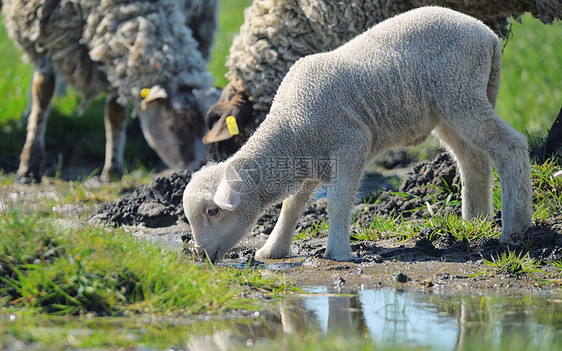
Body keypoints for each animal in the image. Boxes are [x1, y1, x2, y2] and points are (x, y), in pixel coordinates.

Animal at [3, 1, 219, 184]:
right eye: (180, 115)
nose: (202, 165)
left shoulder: (114, 53)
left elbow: (115, 112)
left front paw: (112, 171)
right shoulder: (42, 30)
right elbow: (43, 93)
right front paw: (29, 166)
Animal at [182, 6, 532, 262]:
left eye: (212, 211)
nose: (201, 255)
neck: (289, 129)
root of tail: (485, 34)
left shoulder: (351, 142)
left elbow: (337, 202)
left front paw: (337, 253)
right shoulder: (310, 160)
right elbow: (291, 207)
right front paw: (274, 250)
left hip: (460, 93)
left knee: (509, 147)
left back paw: (514, 228)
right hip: (449, 106)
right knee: (473, 159)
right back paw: (475, 223)